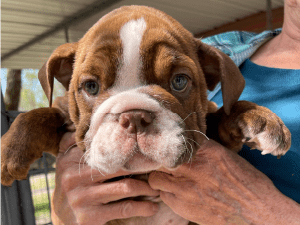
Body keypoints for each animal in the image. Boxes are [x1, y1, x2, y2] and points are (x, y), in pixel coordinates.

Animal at [0, 4, 290, 225]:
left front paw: (259, 119)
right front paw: (9, 151)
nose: (134, 116)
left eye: (179, 81)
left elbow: (224, 114)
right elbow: (39, 114)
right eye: (91, 86)